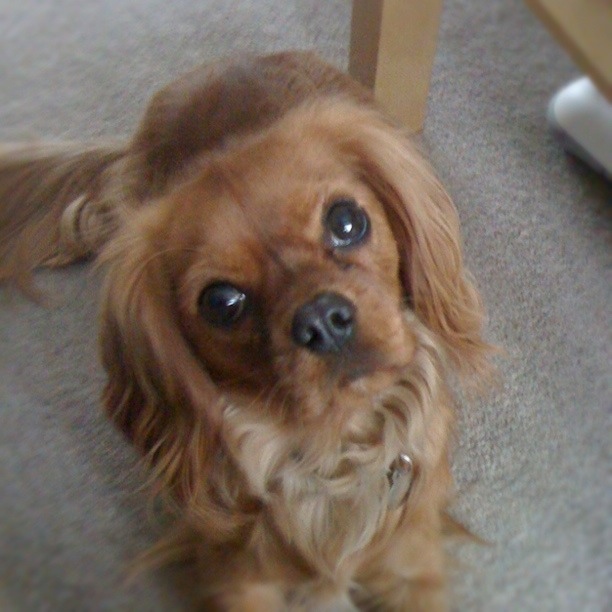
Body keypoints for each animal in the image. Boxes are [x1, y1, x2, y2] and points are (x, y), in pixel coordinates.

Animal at [0, 52, 493, 610]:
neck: (334, 451)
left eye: (346, 220)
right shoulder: (236, 573)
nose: (321, 319)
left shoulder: (412, 562)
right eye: (221, 302)